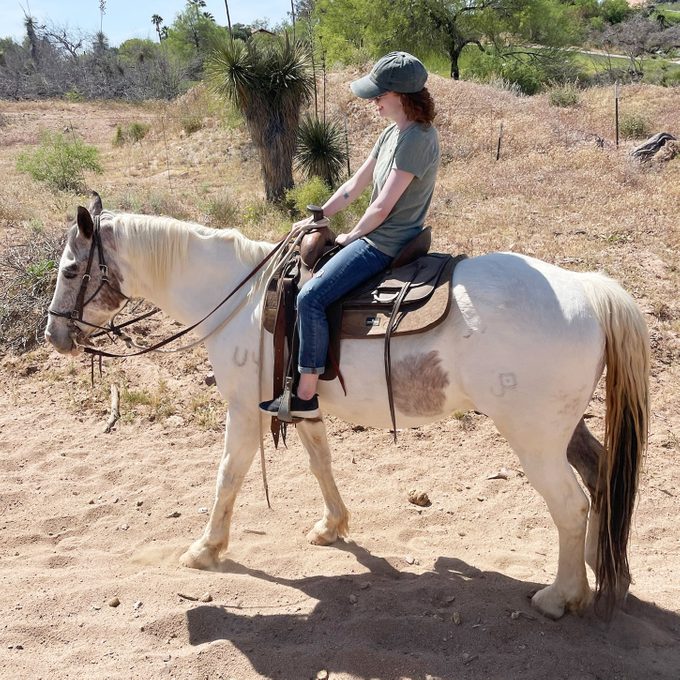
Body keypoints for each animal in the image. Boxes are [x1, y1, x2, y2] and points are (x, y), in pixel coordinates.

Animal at [45, 194, 649, 620]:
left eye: (72, 270)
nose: (55, 335)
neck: (241, 298)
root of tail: (590, 289)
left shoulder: (244, 408)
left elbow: (228, 476)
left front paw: (205, 549)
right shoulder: (299, 403)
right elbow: (321, 463)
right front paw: (332, 526)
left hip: (534, 437)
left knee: (570, 505)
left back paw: (560, 596)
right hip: (564, 428)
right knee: (600, 478)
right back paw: (606, 573)